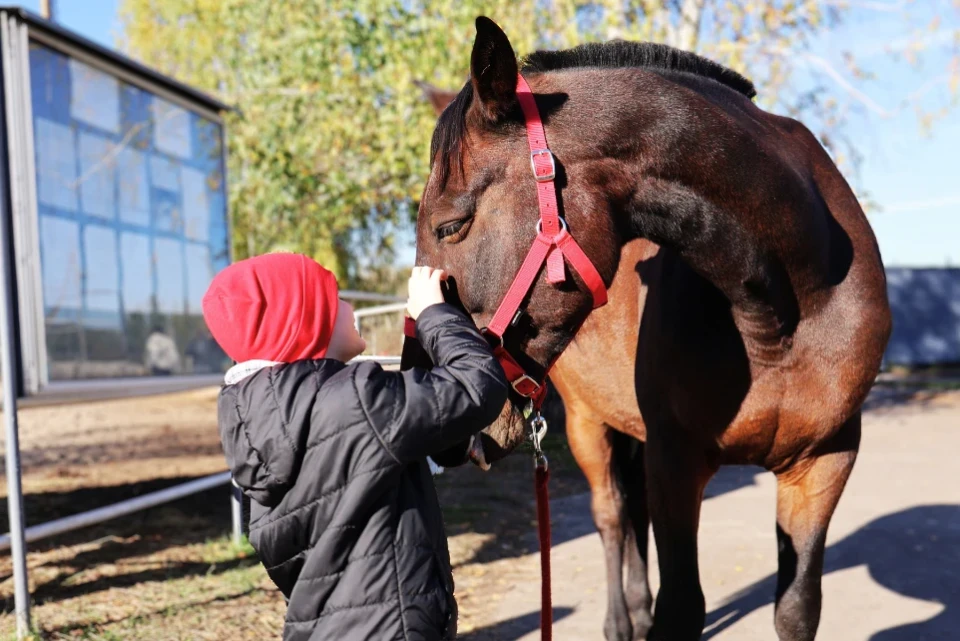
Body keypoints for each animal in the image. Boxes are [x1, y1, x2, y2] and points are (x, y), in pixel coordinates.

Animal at [412, 17, 892, 640]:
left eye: (451, 224)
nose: (445, 437)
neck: (786, 311)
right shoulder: (676, 460)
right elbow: (681, 603)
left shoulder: (824, 462)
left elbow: (796, 606)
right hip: (588, 423)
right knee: (613, 515)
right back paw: (622, 618)